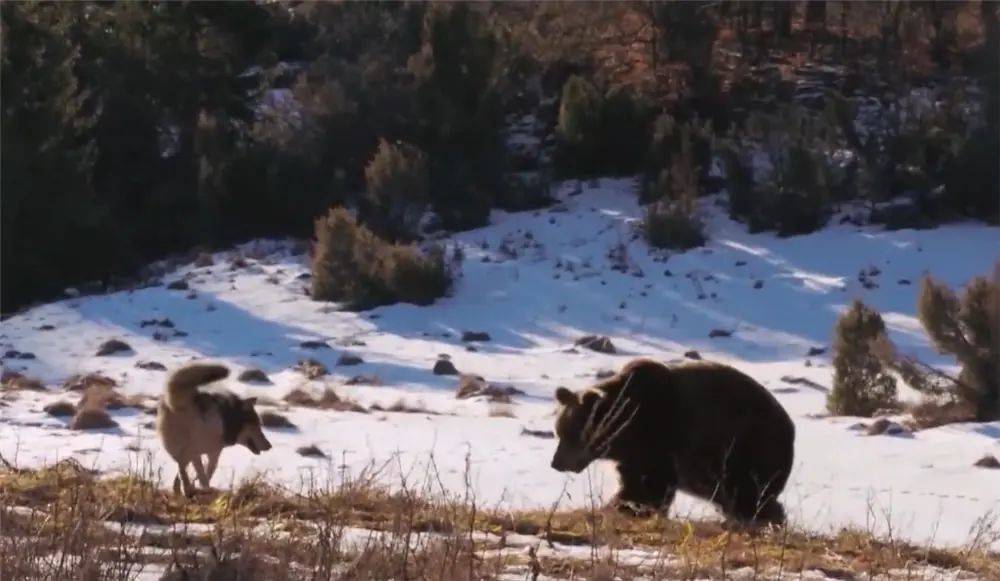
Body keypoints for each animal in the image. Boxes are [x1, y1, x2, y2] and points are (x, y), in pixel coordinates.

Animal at [154, 362, 270, 494]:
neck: (227, 418)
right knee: (184, 467)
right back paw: (191, 489)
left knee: (181, 468)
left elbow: (197, 472)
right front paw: (202, 486)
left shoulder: (202, 453)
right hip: (191, 447)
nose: (269, 446)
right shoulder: (213, 452)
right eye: (257, 426)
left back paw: (185, 489)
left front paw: (184, 487)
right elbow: (208, 471)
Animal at [552, 356, 792, 524]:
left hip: (746, 449)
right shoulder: (633, 454)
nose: (556, 463)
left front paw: (625, 507)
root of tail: (790, 428)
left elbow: (650, 485)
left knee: (748, 495)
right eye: (558, 431)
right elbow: (634, 480)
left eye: (569, 433)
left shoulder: (660, 437)